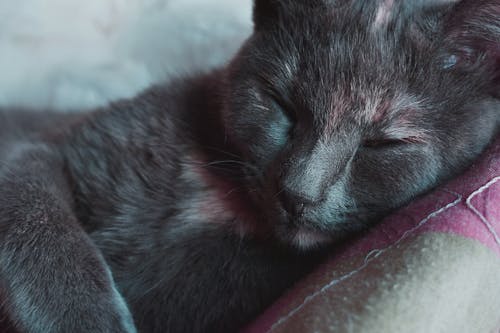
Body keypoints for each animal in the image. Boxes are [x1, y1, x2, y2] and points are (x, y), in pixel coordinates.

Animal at [0, 0, 498, 330]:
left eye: (383, 143)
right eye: (281, 104)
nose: (299, 192)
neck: (226, 203)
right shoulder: (41, 146)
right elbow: (40, 222)